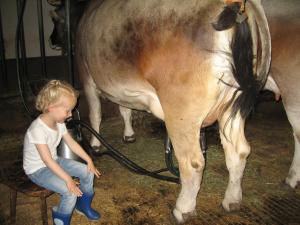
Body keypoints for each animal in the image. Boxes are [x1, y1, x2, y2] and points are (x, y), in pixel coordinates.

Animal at [75, 0, 272, 222]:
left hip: (183, 113)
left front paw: (95, 144)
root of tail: (236, 6)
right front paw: (128, 134)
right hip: (233, 106)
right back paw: (232, 200)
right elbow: (124, 108)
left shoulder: (86, 73)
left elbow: (95, 114)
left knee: (193, 163)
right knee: (239, 152)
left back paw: (183, 209)